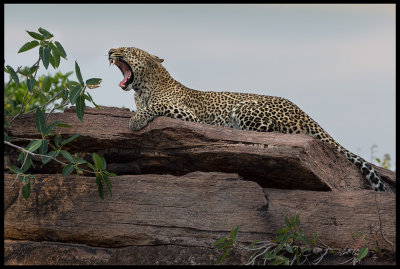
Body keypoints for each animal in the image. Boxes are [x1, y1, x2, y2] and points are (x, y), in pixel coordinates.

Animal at [108, 47, 386, 192]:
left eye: (127, 50)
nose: (110, 50)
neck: (143, 88)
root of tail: (301, 110)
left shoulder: (188, 114)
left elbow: (157, 106)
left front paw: (136, 121)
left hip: (246, 110)